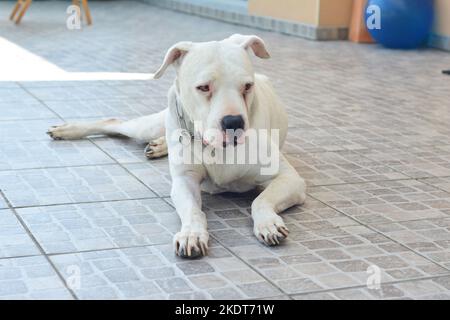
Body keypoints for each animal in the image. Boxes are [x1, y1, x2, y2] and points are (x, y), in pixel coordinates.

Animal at [47, 35, 308, 258]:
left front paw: (268, 223)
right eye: (203, 87)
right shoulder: (184, 181)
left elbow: (260, 200)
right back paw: (69, 130)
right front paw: (192, 233)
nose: (234, 122)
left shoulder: (290, 179)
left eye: (247, 86)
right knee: (114, 123)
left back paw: (159, 145)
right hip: (149, 125)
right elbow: (192, 210)